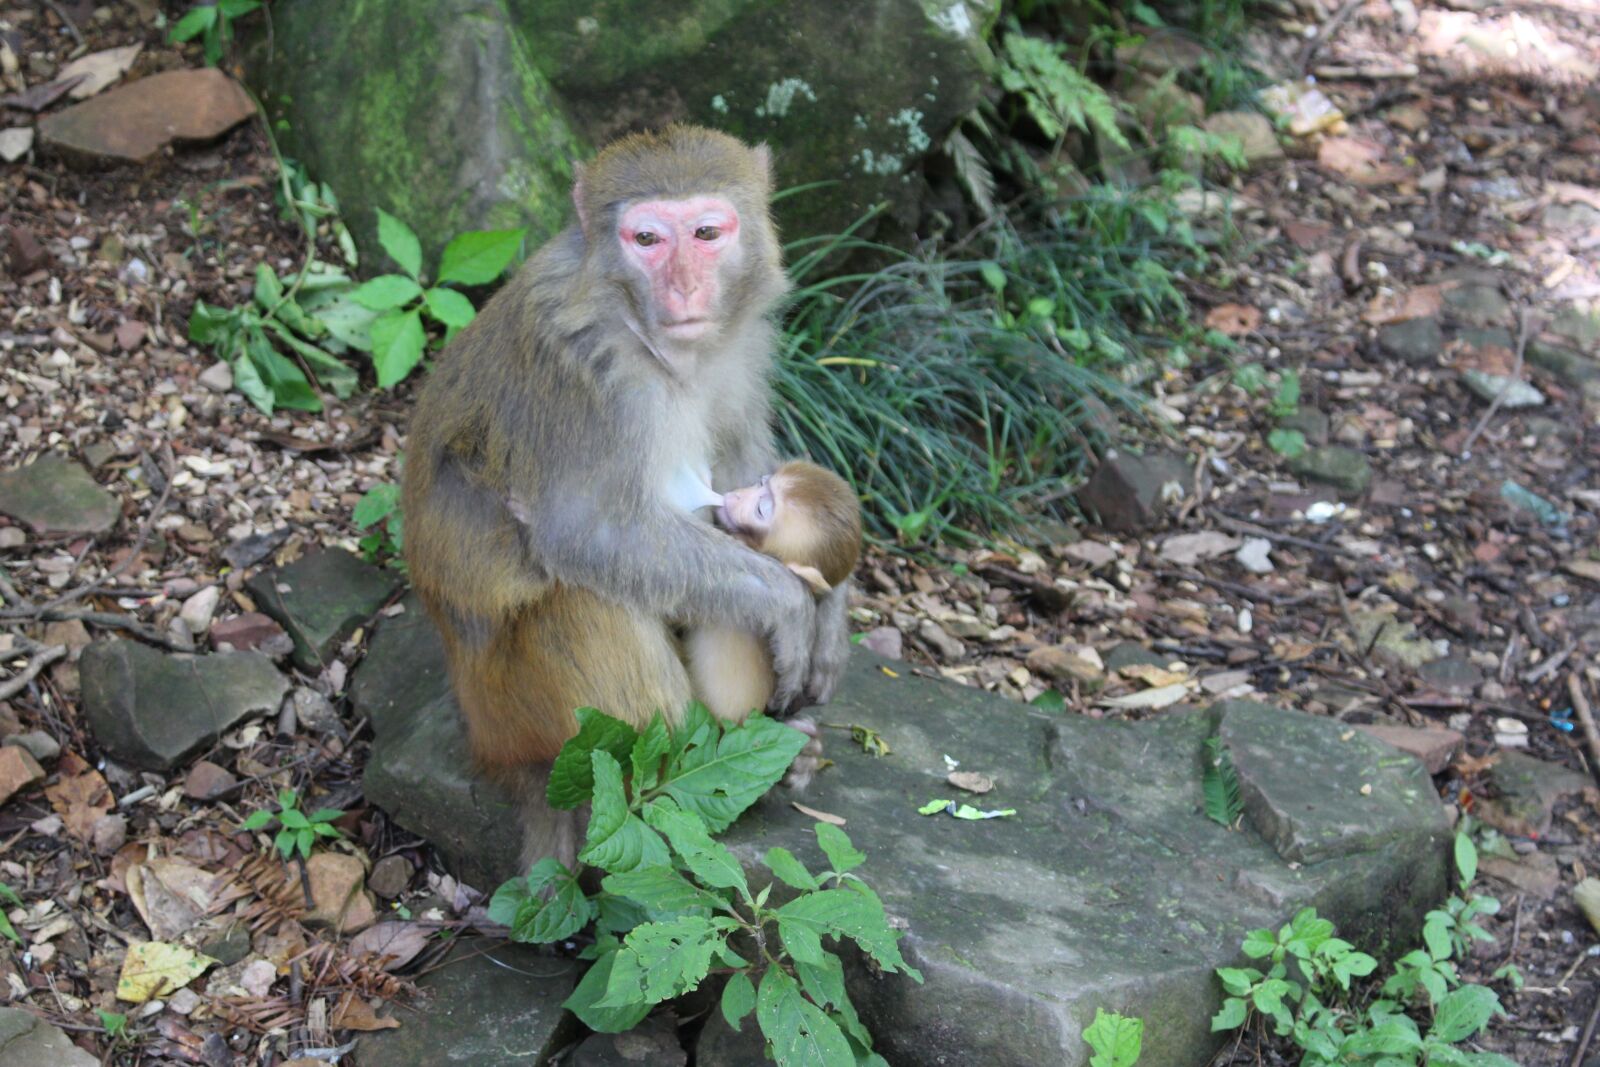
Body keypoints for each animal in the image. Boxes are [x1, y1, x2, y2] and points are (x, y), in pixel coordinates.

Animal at [400, 126, 853, 868]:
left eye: (705, 233)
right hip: (513, 708)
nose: (684, 286)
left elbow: (740, 466)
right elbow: (588, 535)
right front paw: (789, 605)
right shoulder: (586, 375)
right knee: (591, 603)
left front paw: (832, 610)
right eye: (646, 239)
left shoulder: (740, 354)